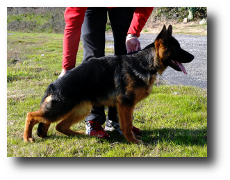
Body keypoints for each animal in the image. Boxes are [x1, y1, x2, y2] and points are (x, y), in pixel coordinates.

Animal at [23, 25, 194, 143]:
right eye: (177, 48)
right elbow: (127, 125)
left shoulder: (124, 107)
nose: (193, 57)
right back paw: (27, 137)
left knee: (60, 126)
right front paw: (132, 141)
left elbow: (126, 123)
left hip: (81, 110)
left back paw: (81, 135)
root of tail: (52, 85)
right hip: (60, 109)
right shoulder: (125, 104)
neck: (144, 63)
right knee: (31, 115)